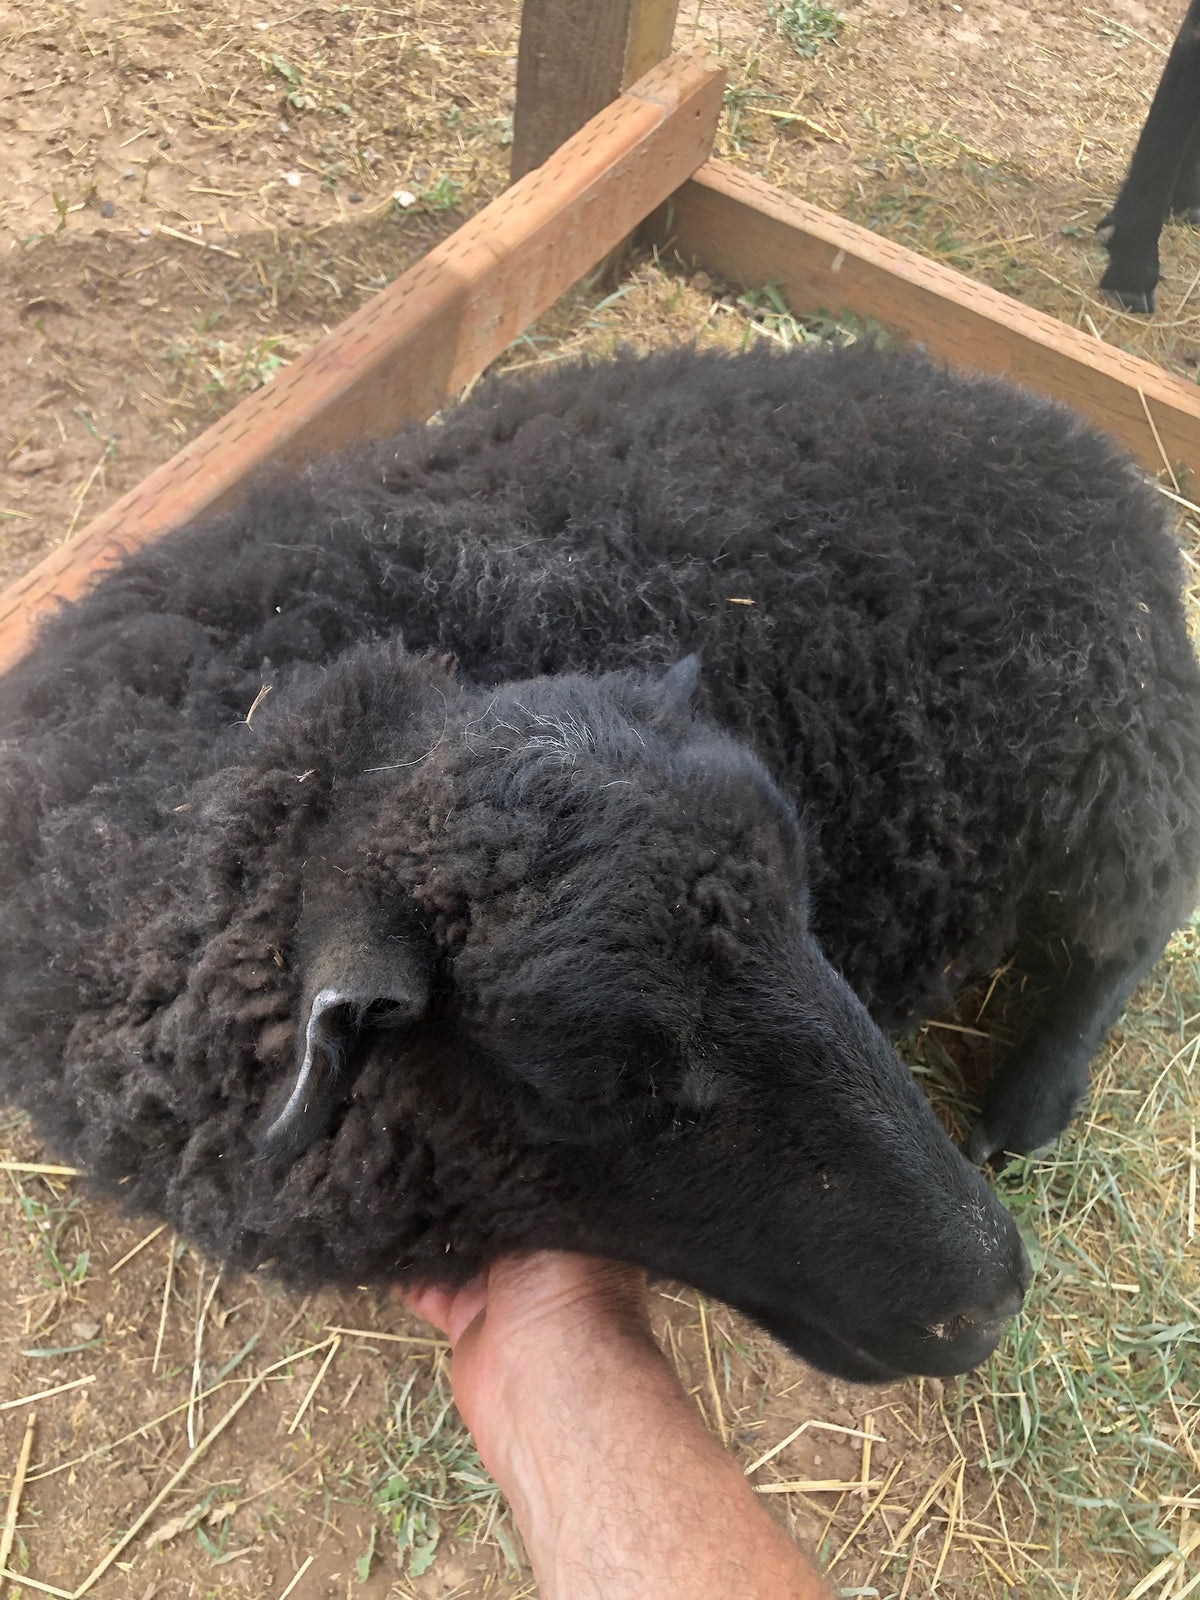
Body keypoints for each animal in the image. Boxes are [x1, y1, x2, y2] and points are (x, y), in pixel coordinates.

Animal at [2, 341, 1197, 1384]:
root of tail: (1090, 447)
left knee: (1136, 924)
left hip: (1121, 763)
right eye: (600, 1082)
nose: (991, 1300)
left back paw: (1030, 1104)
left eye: (809, 911)